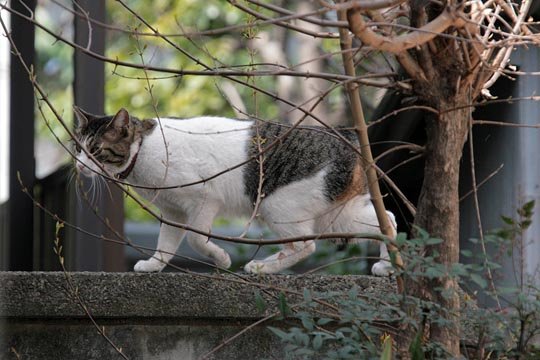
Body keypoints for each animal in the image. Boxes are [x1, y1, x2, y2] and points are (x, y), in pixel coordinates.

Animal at [73, 107, 396, 276]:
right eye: (77, 148)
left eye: (96, 151)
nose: (78, 165)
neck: (142, 151)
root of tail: (346, 137)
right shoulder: (173, 211)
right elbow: (167, 243)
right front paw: (154, 265)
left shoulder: (204, 199)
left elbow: (197, 239)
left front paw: (221, 260)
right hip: (337, 215)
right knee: (387, 221)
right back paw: (386, 266)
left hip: (277, 205)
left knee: (307, 246)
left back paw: (263, 267)